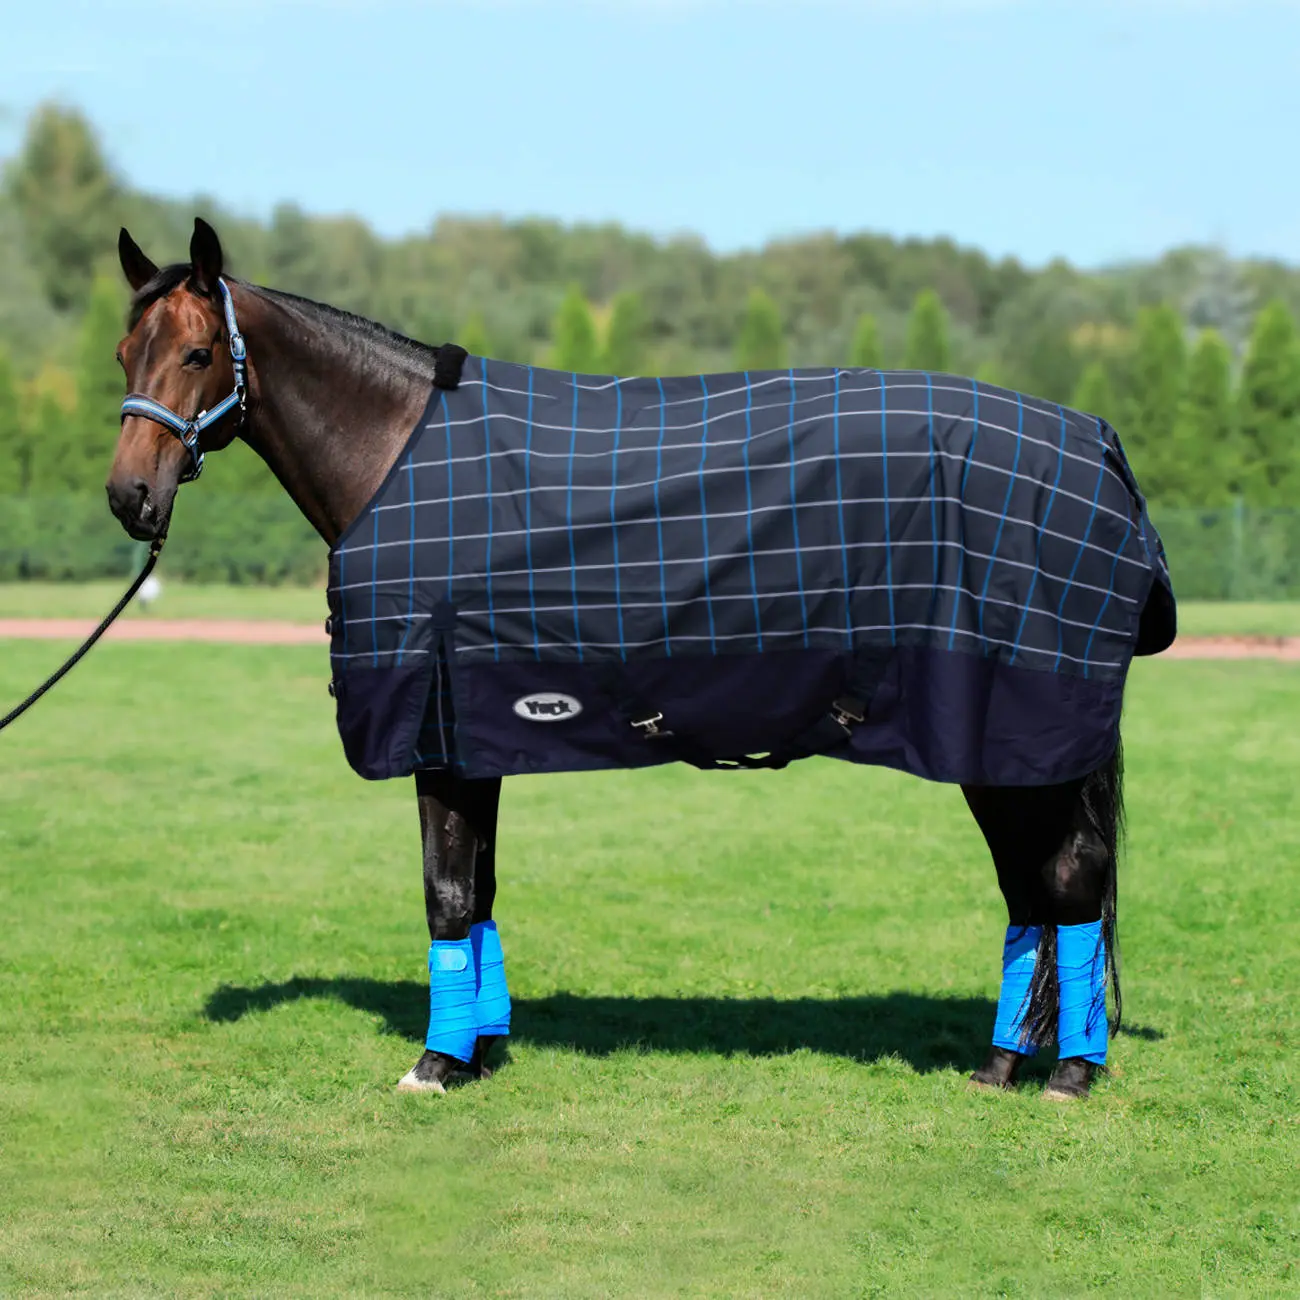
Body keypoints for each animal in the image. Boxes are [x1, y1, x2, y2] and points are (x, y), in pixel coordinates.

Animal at [105, 218, 1175, 1101]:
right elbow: (480, 893)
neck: (399, 458)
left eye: (199, 351)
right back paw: (1001, 1063)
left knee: (1068, 878)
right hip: (998, 747)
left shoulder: (436, 730)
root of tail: (1098, 448)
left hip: (1018, 728)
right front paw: (482, 1050)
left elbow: (447, 895)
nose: (130, 497)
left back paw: (1069, 1073)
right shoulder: (476, 736)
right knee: (1030, 888)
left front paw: (436, 1064)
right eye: (125, 350)